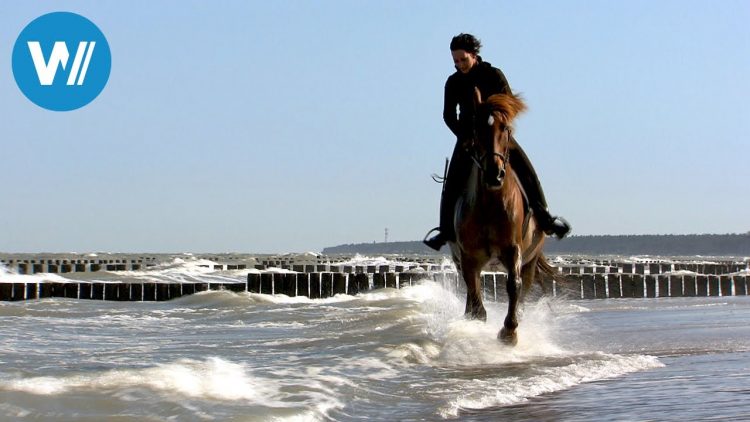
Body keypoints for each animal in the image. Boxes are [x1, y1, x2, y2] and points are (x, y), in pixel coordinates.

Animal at [446, 90, 560, 346]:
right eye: (477, 128)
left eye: (506, 128)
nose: (494, 174)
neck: (490, 203)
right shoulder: (468, 257)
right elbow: (476, 300)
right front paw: (478, 324)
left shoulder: (512, 249)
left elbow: (513, 286)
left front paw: (509, 331)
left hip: (530, 260)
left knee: (524, 288)